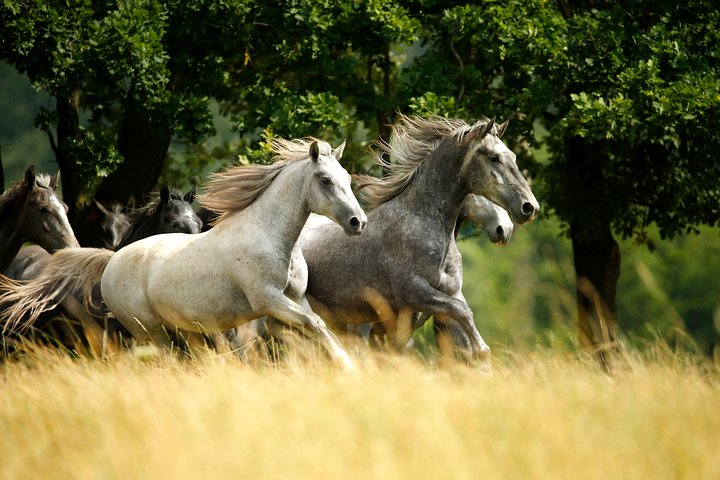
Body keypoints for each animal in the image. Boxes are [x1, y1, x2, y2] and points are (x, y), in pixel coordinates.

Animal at [1, 139, 366, 372]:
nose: (357, 222)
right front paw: (348, 368)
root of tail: (111, 261)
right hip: (150, 331)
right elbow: (315, 323)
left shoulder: (295, 298)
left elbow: (315, 326)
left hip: (184, 331)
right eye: (325, 179)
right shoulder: (268, 299)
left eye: (348, 178)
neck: (268, 234)